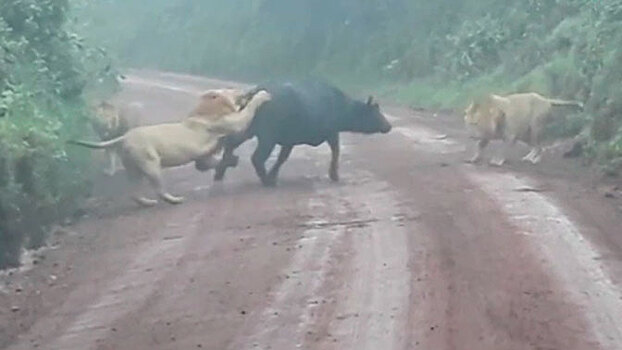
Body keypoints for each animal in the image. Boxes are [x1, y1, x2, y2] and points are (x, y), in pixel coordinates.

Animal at [70, 89, 270, 206]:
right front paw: (263, 95)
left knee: (134, 192)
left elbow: (212, 163)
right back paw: (174, 200)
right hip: (151, 164)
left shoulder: (203, 157)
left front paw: (232, 160)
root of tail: (125, 137)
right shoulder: (232, 123)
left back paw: (147, 202)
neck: (205, 110)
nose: (246, 90)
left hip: (134, 169)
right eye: (232, 91)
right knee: (159, 190)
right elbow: (247, 111)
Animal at [213, 80, 390, 186]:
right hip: (267, 137)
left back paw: (219, 174)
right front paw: (334, 175)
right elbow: (336, 151)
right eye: (375, 112)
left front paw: (274, 175)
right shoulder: (332, 133)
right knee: (256, 157)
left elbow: (282, 158)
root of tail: (252, 94)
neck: (341, 107)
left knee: (230, 143)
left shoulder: (289, 141)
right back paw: (266, 181)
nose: (388, 125)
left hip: (247, 129)